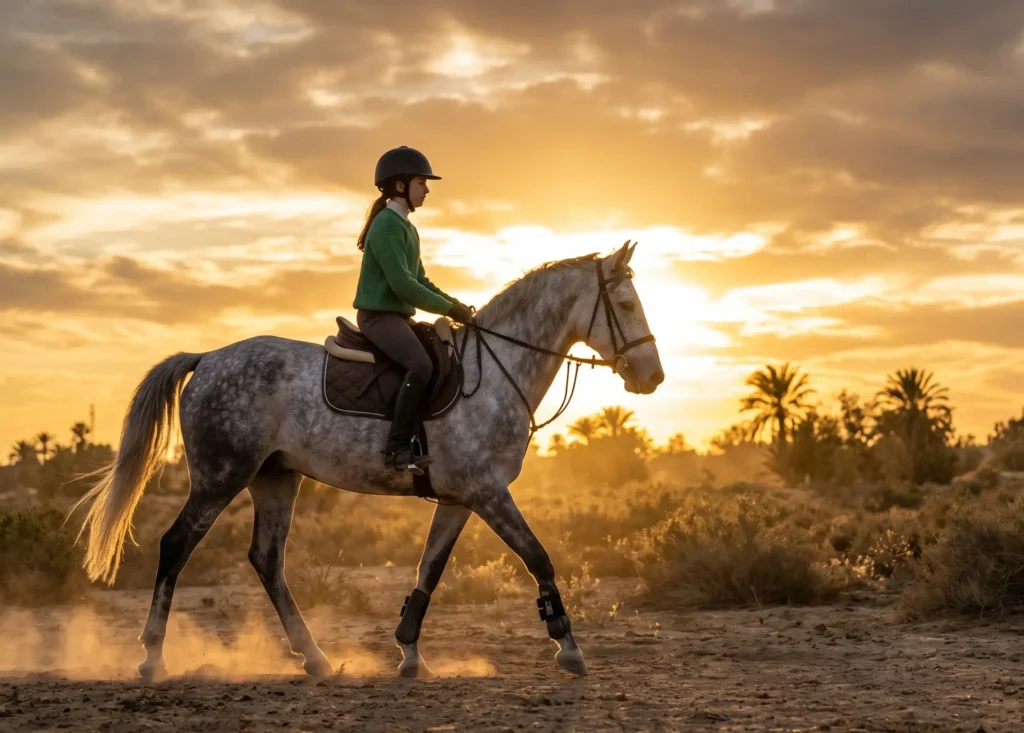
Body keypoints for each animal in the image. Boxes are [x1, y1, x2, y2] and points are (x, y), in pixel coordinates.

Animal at [72, 240, 663, 680]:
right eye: (627, 306)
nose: (652, 377)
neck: (496, 371)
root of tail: (208, 358)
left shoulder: (460, 498)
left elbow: (429, 569)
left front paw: (409, 654)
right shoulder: (489, 492)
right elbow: (538, 557)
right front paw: (568, 647)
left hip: (274, 478)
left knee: (267, 560)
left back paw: (315, 658)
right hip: (222, 476)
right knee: (176, 546)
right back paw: (152, 657)